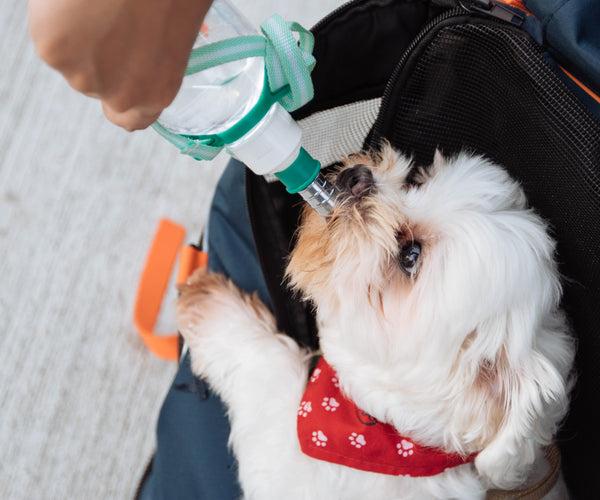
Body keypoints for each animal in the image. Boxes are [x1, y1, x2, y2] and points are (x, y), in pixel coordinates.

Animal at [176, 144, 576, 496]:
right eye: (417, 181)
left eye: (410, 255)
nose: (358, 178)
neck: (383, 435)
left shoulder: (288, 469)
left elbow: (268, 372)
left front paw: (212, 306)